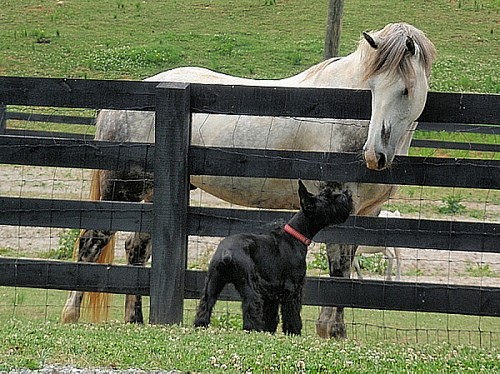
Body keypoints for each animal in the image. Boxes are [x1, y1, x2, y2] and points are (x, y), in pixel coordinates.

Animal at [193, 180, 354, 334]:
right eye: (327, 197)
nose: (347, 195)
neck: (295, 235)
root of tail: (226, 252)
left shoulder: (272, 293)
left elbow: (271, 316)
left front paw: (269, 331)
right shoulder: (293, 288)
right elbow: (292, 313)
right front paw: (293, 331)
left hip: (213, 283)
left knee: (206, 303)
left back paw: (201, 326)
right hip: (249, 284)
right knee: (251, 304)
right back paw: (253, 329)